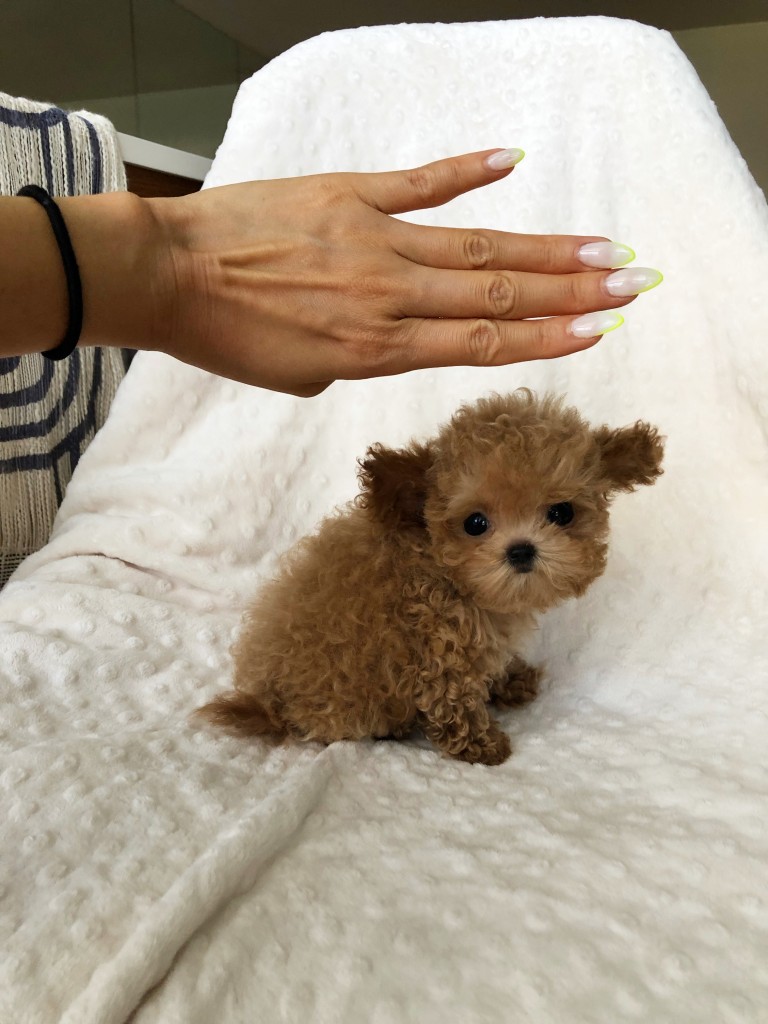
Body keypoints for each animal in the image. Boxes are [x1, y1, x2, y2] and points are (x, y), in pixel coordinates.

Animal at [201, 387, 663, 765]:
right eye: (475, 523)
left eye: (562, 513)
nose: (521, 550)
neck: (444, 574)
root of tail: (270, 707)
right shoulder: (439, 651)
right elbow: (455, 703)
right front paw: (482, 747)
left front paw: (511, 681)